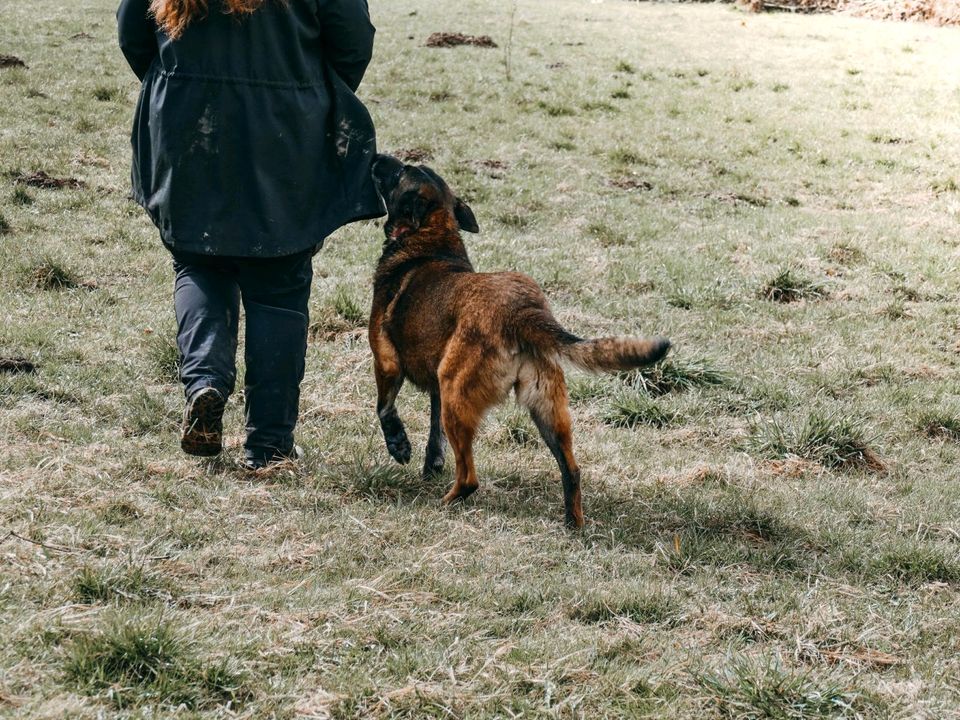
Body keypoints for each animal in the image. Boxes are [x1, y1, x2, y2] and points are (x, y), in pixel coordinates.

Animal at [368, 155, 668, 524]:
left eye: (400, 171)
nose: (377, 157)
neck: (432, 234)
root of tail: (522, 313)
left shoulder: (385, 359)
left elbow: (384, 407)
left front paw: (399, 445)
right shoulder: (435, 386)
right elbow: (434, 433)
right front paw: (430, 464)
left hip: (456, 390)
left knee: (469, 477)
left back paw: (443, 503)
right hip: (547, 408)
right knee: (572, 470)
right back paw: (573, 524)